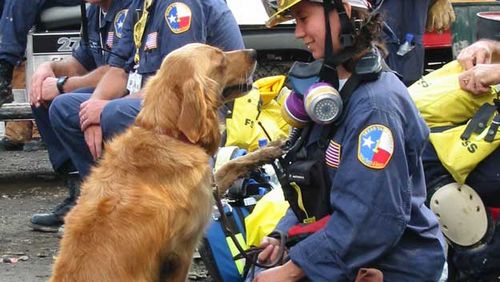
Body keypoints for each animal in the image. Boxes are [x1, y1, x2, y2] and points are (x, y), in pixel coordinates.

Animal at [50, 42, 256, 282]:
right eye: (220, 59)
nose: (254, 53)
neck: (166, 133)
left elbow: (231, 164)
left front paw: (270, 150)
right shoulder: (181, 251)